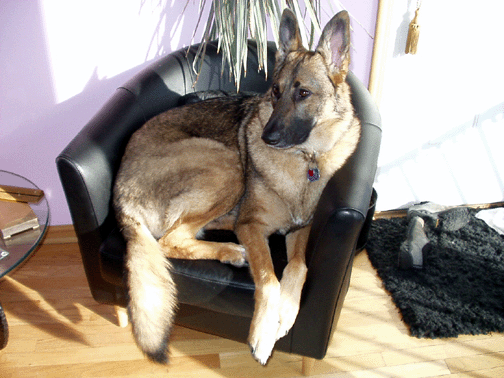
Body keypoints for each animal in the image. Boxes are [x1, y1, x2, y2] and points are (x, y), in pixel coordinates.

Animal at [112, 8, 360, 364]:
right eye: (275, 90)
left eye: (303, 93)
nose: (267, 137)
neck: (305, 159)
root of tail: (119, 195)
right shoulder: (253, 226)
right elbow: (269, 279)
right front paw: (263, 333)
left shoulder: (302, 228)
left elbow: (298, 266)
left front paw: (286, 312)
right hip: (227, 165)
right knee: (170, 240)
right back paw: (230, 250)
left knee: (188, 232)